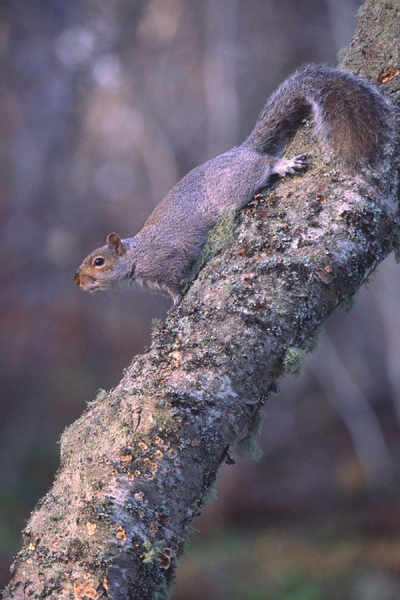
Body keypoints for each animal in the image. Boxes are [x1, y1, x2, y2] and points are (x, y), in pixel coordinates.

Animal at [73, 67, 392, 304]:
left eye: (98, 262)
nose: (76, 281)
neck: (137, 258)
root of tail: (242, 151)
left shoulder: (167, 262)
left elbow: (178, 284)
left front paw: (176, 305)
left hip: (235, 185)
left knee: (262, 163)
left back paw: (281, 164)